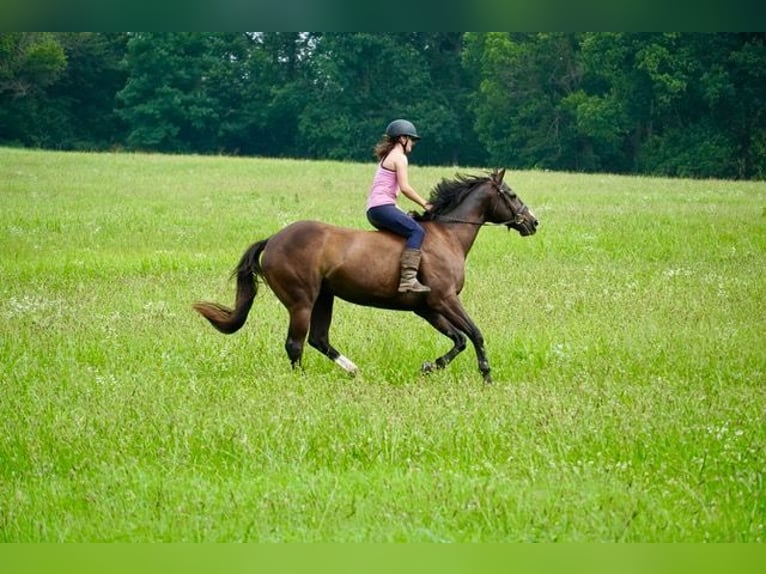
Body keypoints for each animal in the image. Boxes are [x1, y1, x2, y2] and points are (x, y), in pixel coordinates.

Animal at [193, 168, 538, 383]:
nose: (533, 223)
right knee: (295, 344)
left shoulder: (427, 308)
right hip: (301, 300)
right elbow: (475, 334)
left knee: (318, 339)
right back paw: (303, 381)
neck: (448, 235)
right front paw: (487, 375)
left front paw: (429, 367)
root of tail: (274, 239)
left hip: (325, 297)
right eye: (511, 194)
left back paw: (353, 371)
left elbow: (459, 339)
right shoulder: (445, 299)